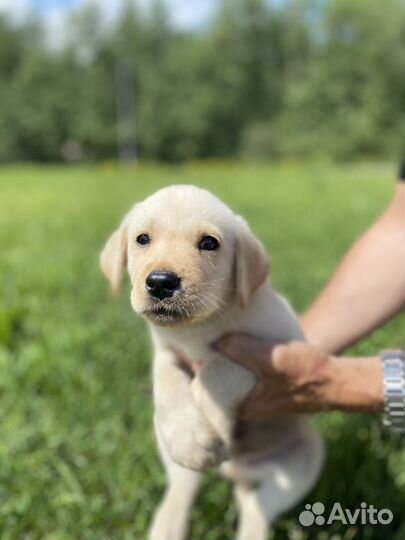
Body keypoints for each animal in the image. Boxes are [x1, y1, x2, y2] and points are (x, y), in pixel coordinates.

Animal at [100, 186, 322, 540]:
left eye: (209, 243)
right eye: (142, 239)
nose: (160, 282)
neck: (199, 327)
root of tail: (237, 468)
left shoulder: (271, 353)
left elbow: (214, 368)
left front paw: (210, 420)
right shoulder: (167, 352)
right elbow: (167, 381)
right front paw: (192, 437)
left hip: (303, 461)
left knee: (258, 507)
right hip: (165, 442)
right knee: (184, 485)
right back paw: (168, 523)